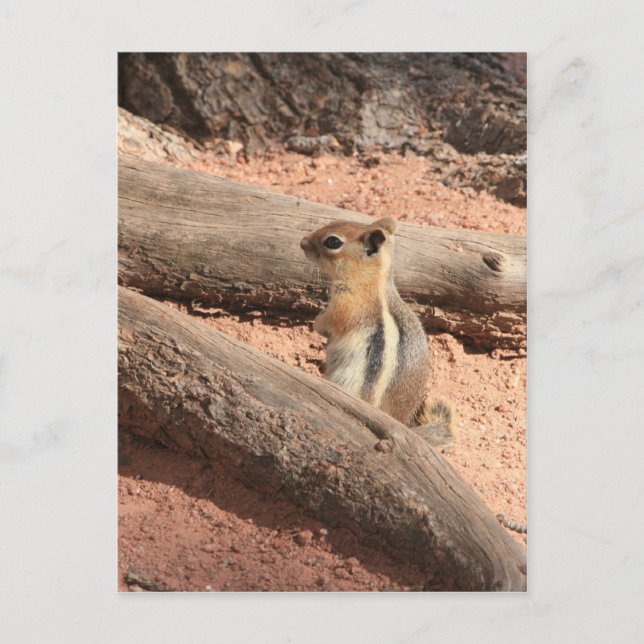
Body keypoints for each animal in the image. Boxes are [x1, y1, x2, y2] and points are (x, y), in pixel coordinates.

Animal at [300, 216, 453, 447]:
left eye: (333, 242)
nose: (302, 242)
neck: (371, 281)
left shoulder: (346, 307)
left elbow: (331, 321)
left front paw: (317, 324)